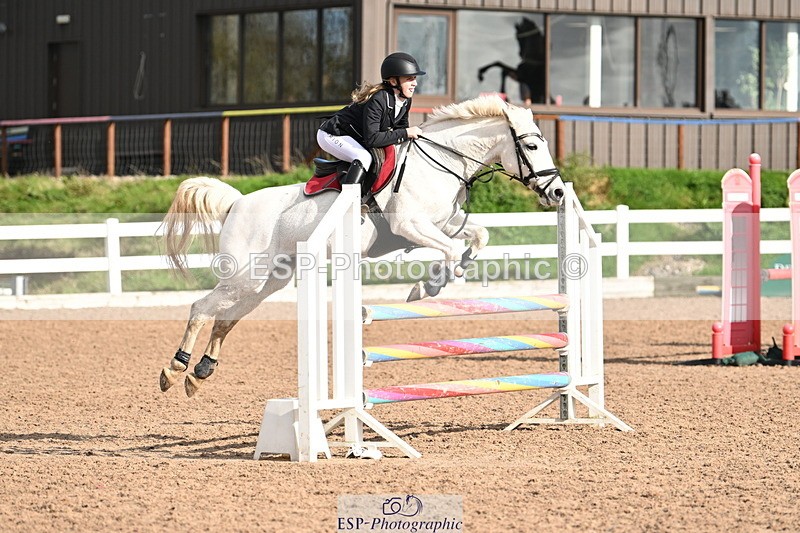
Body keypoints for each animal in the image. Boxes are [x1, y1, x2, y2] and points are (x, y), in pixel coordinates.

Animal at [158, 94, 565, 397]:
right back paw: (175, 367)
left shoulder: (442, 224)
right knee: (201, 309)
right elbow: (449, 252)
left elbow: (479, 237)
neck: (439, 163)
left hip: (266, 281)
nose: (559, 192)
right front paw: (426, 288)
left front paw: (451, 274)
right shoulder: (411, 226)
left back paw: (200, 373)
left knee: (226, 317)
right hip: (245, 276)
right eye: (531, 145)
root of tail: (237, 202)